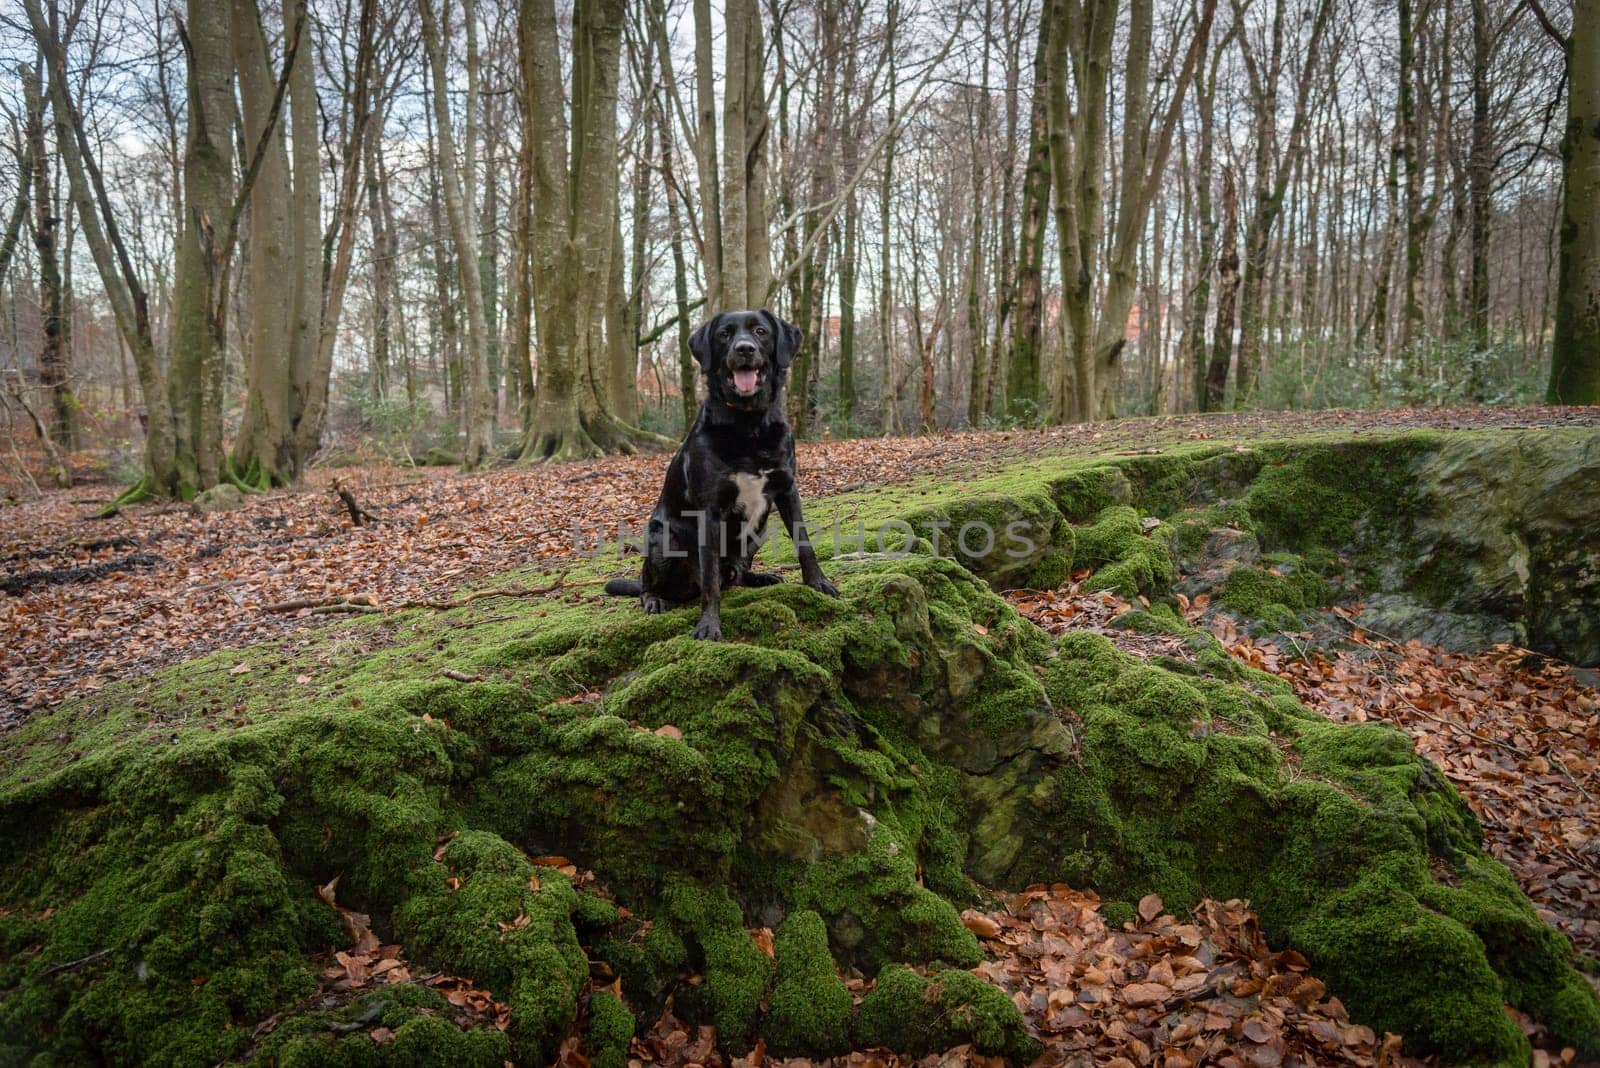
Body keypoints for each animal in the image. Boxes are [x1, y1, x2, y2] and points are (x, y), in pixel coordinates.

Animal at [601, 308, 838, 642]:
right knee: (652, 584)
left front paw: (818, 583)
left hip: (760, 532)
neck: (749, 424)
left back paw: (759, 577)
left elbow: (804, 543)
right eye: (724, 334)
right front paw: (709, 624)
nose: (744, 349)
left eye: (761, 331)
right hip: (662, 539)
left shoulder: (787, 490)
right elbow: (710, 579)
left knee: (735, 575)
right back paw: (655, 600)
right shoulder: (710, 511)